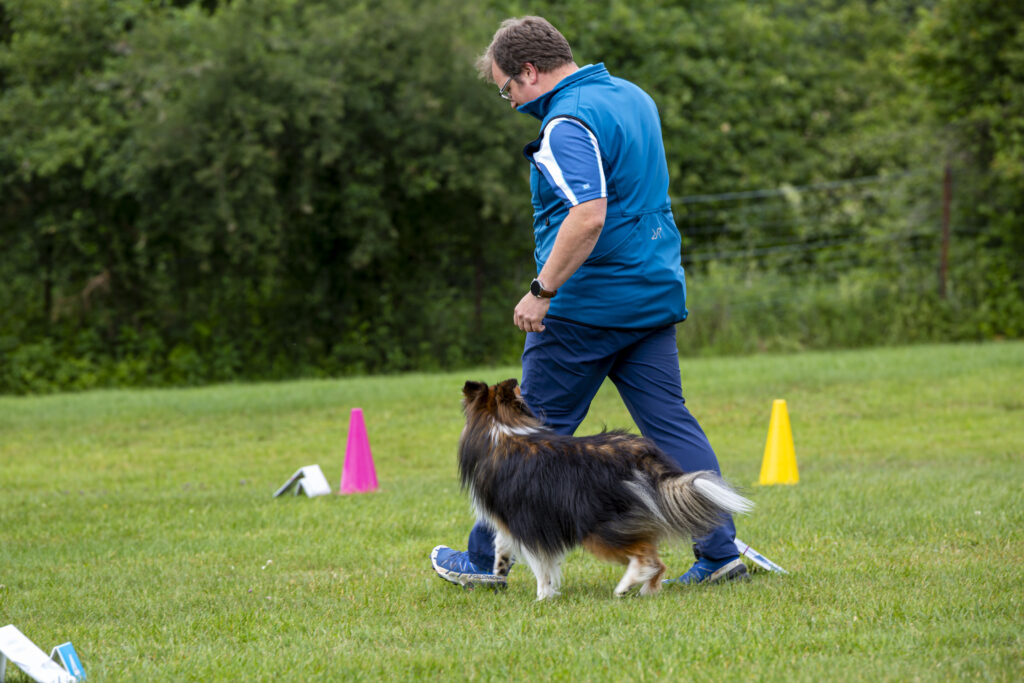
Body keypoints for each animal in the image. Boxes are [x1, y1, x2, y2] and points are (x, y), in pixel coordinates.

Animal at [458, 378, 753, 600]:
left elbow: (541, 565)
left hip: (598, 526)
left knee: (647, 559)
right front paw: (500, 566)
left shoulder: (531, 521)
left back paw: (625, 586)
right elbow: (502, 541)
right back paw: (647, 590)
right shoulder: (514, 518)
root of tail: (641, 457)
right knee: (657, 562)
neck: (500, 427)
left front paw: (543, 597)